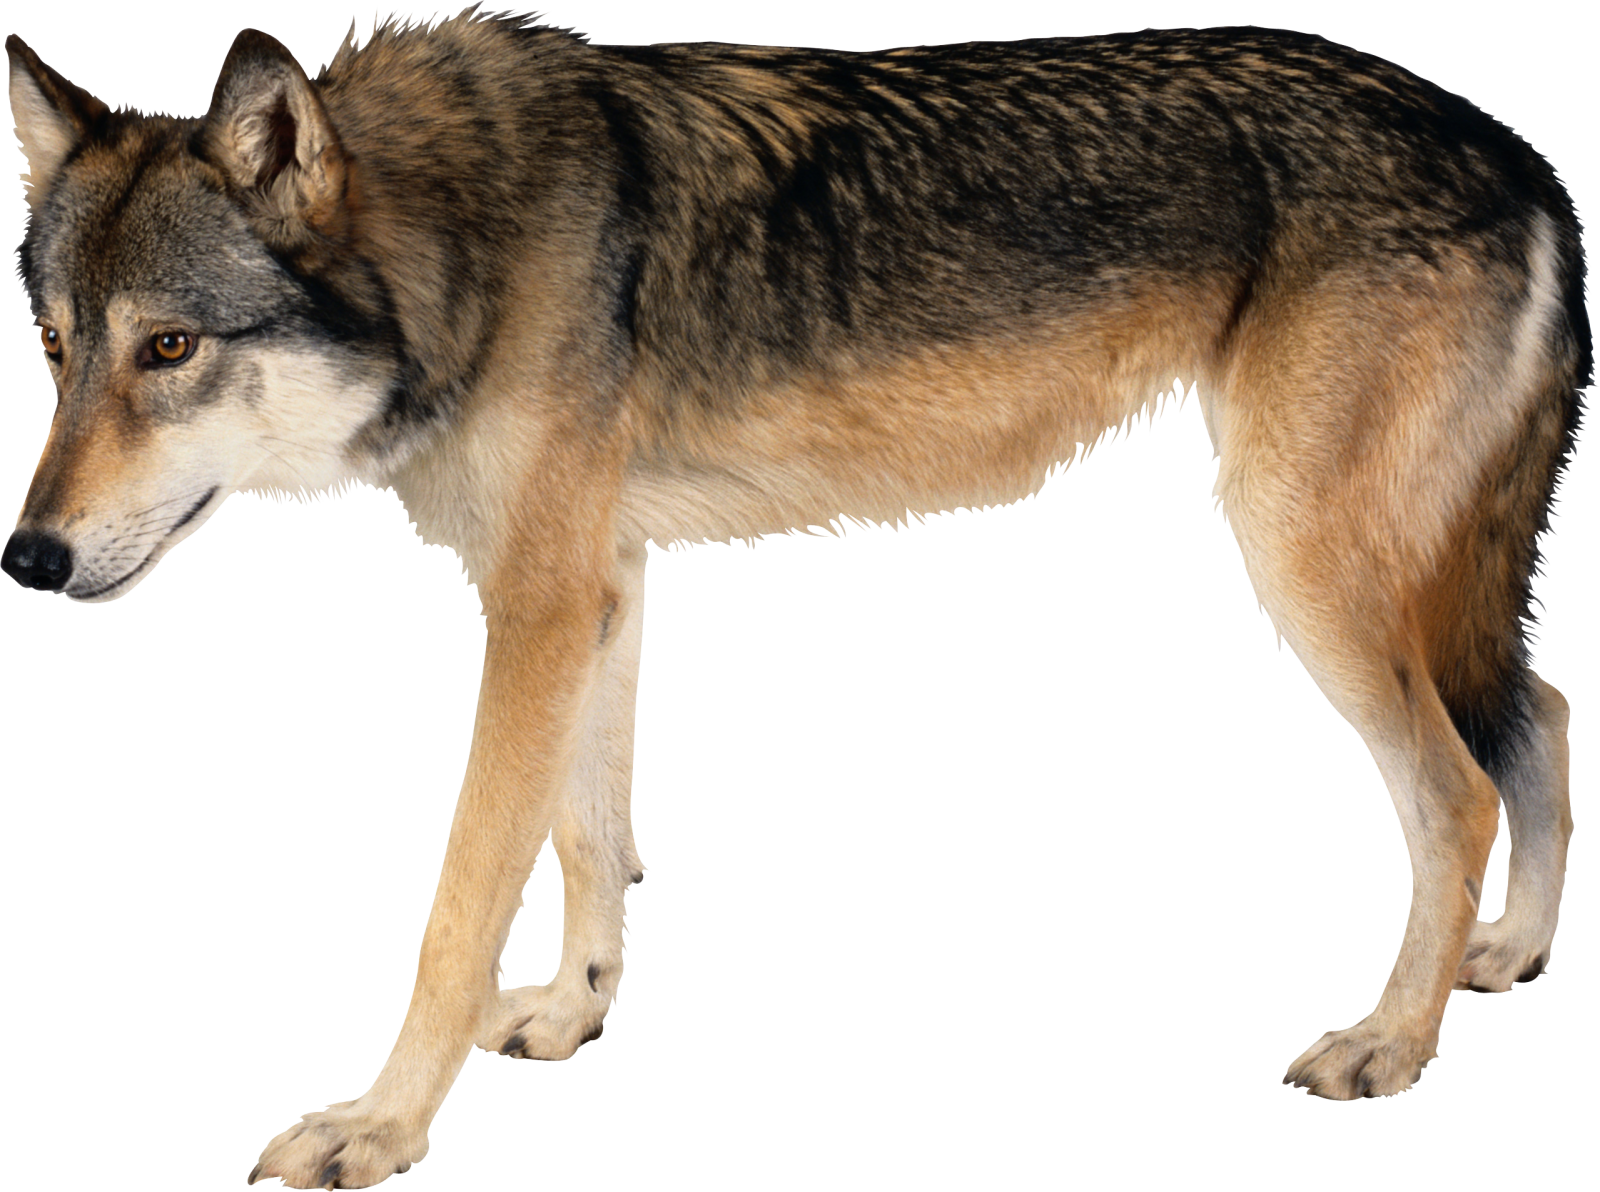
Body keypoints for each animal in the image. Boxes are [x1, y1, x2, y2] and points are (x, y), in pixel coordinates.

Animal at [4, 9, 1586, 1187]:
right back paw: (1509, 954)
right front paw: (574, 1014)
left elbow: (459, 906)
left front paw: (381, 1127)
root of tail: (1519, 155)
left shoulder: (537, 602)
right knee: (1549, 714)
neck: (461, 236)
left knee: (1461, 791)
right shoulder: (595, 584)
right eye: (56, 345)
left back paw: (1391, 1044)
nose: (25, 561)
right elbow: (593, 835)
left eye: (170, 347)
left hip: (1300, 557)